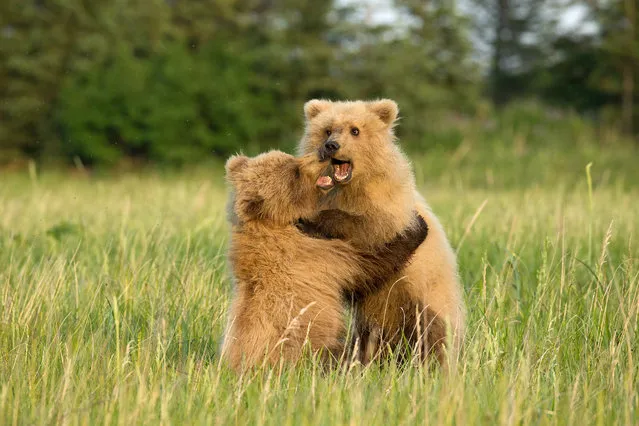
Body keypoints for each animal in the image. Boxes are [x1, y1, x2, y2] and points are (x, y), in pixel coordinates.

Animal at [296, 100, 464, 366]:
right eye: (327, 129)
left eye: (355, 130)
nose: (331, 145)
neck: (351, 189)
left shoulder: (391, 211)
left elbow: (370, 229)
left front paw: (314, 220)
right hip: (375, 320)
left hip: (427, 301)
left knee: (433, 338)